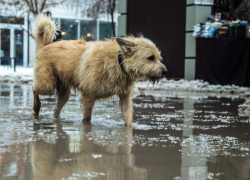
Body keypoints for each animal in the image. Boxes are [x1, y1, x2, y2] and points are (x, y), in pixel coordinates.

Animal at [32, 13, 167, 126]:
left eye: (159, 58)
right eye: (150, 58)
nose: (165, 71)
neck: (118, 63)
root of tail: (46, 45)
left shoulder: (125, 97)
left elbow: (128, 119)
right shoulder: (88, 96)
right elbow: (87, 118)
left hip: (64, 93)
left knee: (56, 110)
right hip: (46, 84)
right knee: (34, 89)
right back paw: (36, 108)